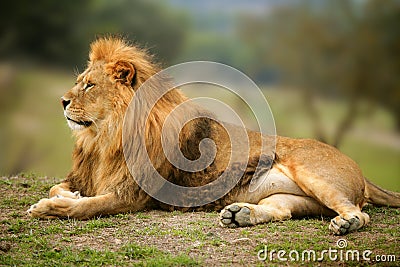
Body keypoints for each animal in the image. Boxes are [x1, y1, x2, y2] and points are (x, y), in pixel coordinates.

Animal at [26, 36, 398, 236]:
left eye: (89, 85)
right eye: (79, 81)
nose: (62, 101)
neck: (105, 137)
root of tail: (359, 169)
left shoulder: (133, 196)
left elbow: (86, 208)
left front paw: (50, 207)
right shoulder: (86, 175)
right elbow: (60, 187)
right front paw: (68, 195)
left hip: (313, 173)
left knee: (360, 213)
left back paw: (345, 224)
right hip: (294, 198)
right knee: (283, 210)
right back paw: (239, 215)